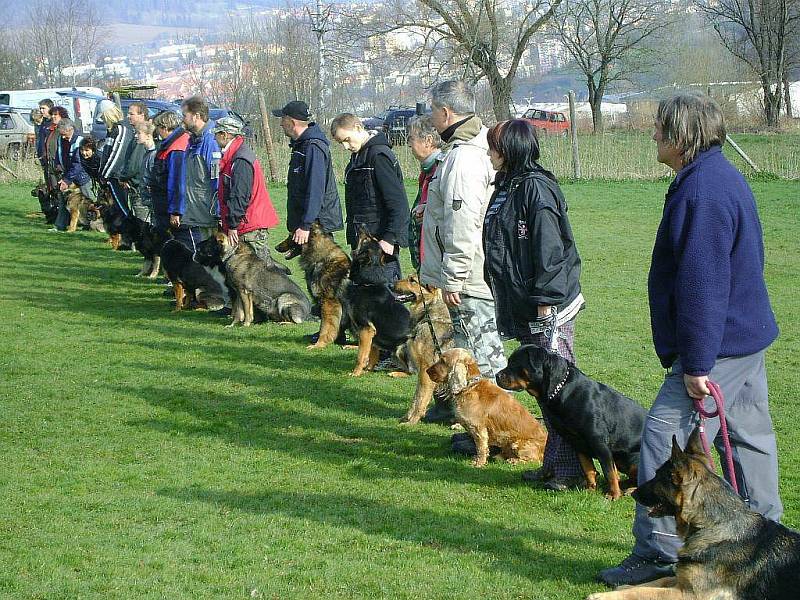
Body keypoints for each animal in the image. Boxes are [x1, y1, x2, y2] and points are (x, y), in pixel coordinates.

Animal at [390, 274, 454, 424]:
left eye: (412, 280)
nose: (389, 285)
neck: (429, 314)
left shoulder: (426, 369)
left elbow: (421, 397)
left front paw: (413, 420)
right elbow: (416, 397)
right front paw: (407, 417)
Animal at [496, 344, 648, 500]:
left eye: (515, 363)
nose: (497, 375)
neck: (561, 389)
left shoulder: (599, 442)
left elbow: (609, 472)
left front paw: (613, 494)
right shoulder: (576, 442)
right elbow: (588, 469)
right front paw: (590, 489)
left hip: (633, 458)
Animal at [584, 426, 796, 600]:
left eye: (658, 477)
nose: (633, 493)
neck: (712, 525)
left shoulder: (689, 593)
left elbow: (646, 591)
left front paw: (602, 596)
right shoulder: (681, 581)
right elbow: (654, 582)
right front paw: (622, 587)